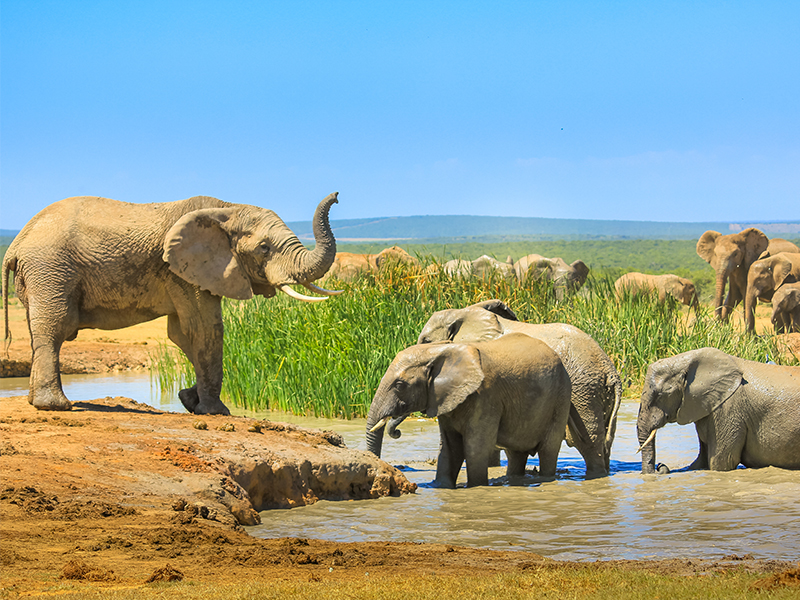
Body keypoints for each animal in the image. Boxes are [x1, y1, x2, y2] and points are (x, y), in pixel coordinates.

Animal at [2, 193, 342, 415]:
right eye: (264, 248)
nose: (337, 196)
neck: (227, 209)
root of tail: (17, 243)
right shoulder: (183, 271)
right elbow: (204, 329)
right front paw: (216, 412)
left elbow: (182, 334)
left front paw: (189, 399)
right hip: (50, 269)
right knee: (55, 329)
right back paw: (55, 406)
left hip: (39, 275)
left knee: (38, 333)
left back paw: (35, 402)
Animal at [366, 333, 572, 488]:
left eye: (400, 385)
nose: (397, 432)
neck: (440, 351)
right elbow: (450, 448)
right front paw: (440, 487)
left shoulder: (485, 396)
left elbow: (475, 448)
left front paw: (476, 487)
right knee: (515, 454)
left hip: (561, 398)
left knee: (548, 450)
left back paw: (544, 479)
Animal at [410, 300, 622, 477]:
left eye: (426, 341)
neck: (464, 313)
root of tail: (610, 371)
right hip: (599, 394)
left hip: (583, 391)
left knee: (588, 441)